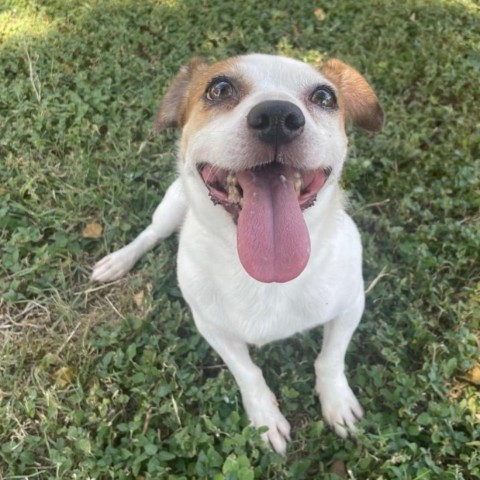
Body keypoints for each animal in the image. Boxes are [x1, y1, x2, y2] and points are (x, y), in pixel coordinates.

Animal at [91, 53, 382, 454]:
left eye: (325, 97)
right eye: (219, 89)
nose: (278, 117)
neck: (265, 277)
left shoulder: (351, 305)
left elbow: (331, 358)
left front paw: (336, 401)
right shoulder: (212, 327)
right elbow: (247, 371)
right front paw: (265, 417)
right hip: (171, 206)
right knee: (151, 232)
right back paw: (118, 260)